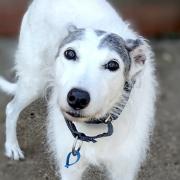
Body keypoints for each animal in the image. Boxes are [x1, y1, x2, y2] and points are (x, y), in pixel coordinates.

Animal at [0, 0, 156, 179]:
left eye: (113, 65)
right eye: (70, 53)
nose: (78, 98)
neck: (95, 124)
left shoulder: (123, 167)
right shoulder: (70, 166)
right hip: (34, 82)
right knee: (11, 108)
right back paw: (12, 147)